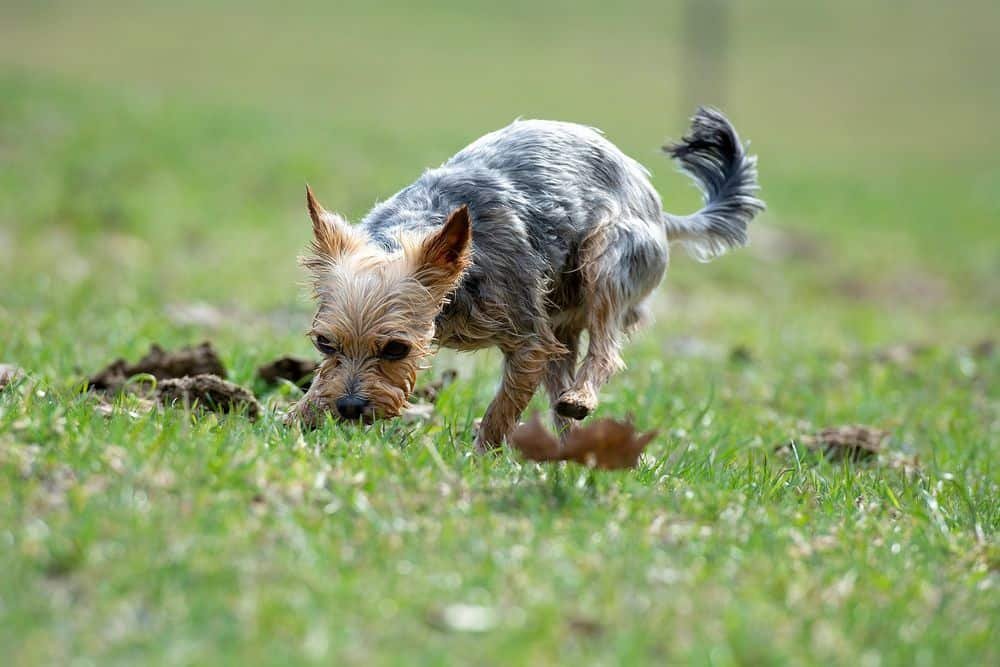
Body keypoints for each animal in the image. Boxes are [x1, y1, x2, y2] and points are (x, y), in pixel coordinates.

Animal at [292, 107, 760, 448]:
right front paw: (298, 416)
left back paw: (580, 400)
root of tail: (660, 211)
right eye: (324, 343)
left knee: (605, 349)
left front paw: (482, 452)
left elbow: (504, 406)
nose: (350, 407)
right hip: (560, 316)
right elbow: (321, 380)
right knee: (564, 373)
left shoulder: (529, 338)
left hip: (607, 258)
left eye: (395, 348)